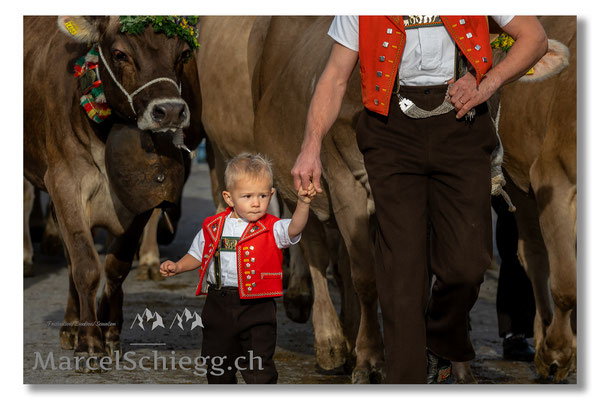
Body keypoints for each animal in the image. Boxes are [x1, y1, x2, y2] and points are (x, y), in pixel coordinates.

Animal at [23, 15, 203, 368]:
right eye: (120, 53)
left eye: (183, 54)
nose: (170, 111)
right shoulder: (65, 182)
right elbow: (86, 265)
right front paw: (89, 343)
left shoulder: (141, 194)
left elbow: (116, 268)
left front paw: (110, 333)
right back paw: (70, 324)